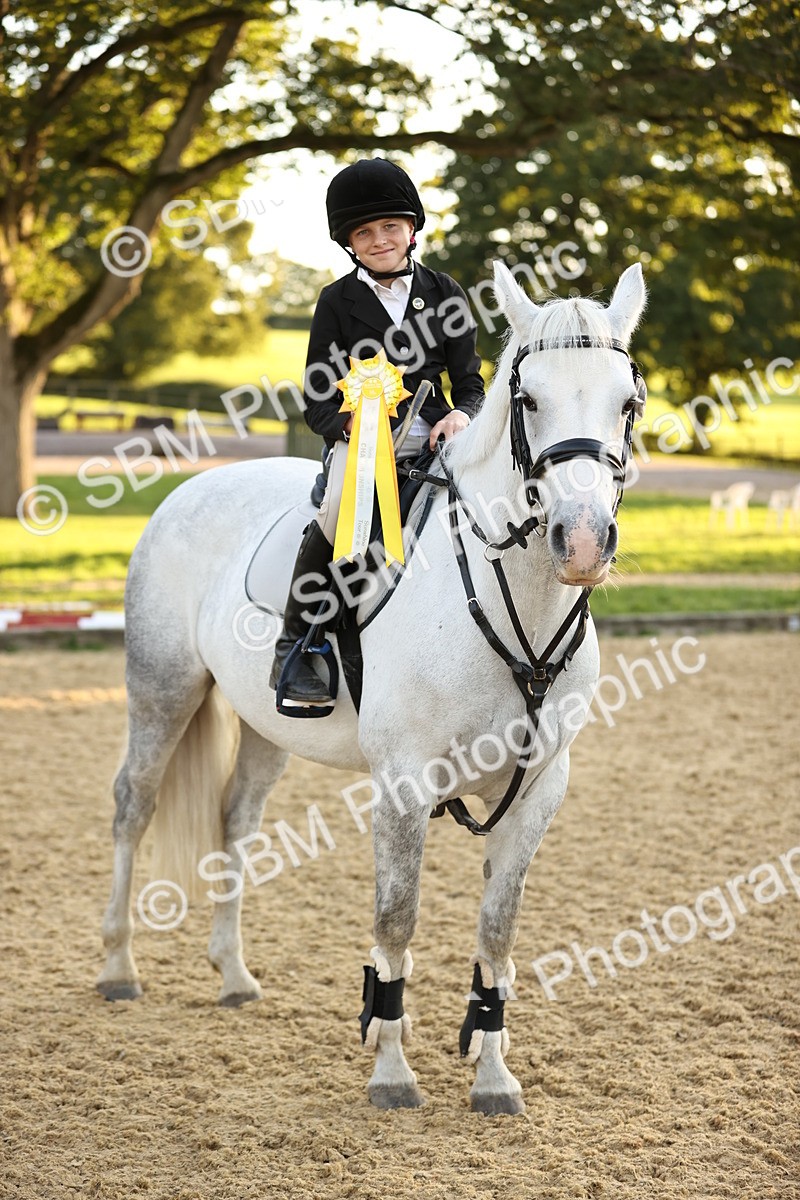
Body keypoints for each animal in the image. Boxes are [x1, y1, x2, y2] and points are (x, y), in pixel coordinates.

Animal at [96, 260, 647, 1115]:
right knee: (135, 805)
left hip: (267, 726)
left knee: (235, 818)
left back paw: (233, 974)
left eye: (628, 400)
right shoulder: (403, 784)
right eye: (528, 399)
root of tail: (193, 487)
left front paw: (493, 1077)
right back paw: (120, 968)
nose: (583, 541)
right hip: (163, 689)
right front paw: (391, 1070)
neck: (508, 599)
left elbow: (498, 932)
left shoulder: (538, 789)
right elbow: (396, 921)